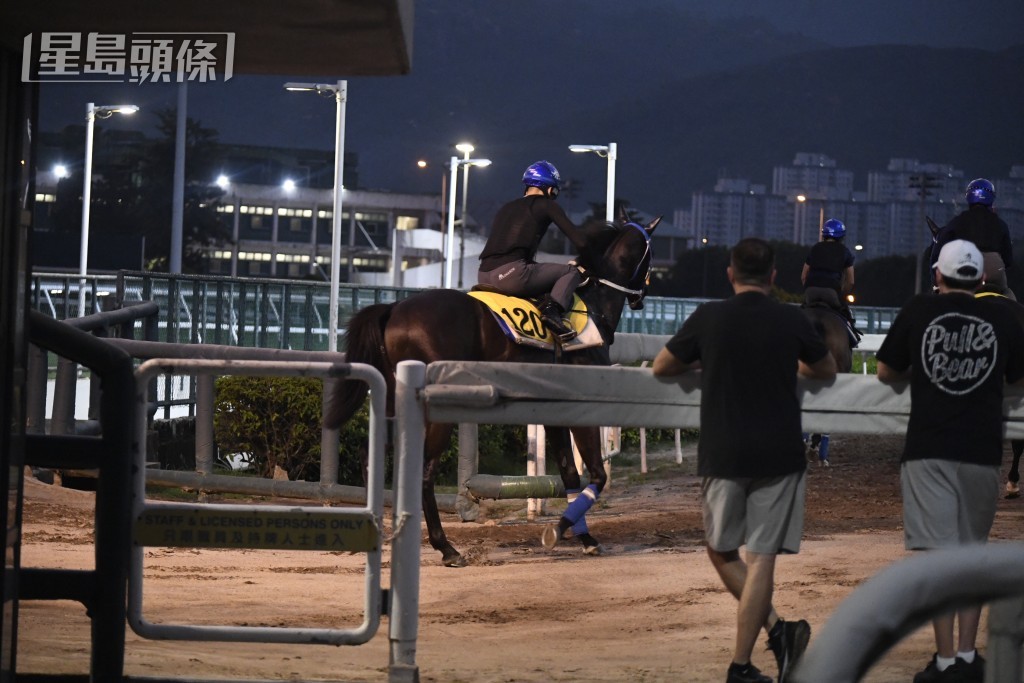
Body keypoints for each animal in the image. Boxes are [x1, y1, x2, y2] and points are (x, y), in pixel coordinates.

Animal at [327, 208, 663, 565]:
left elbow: (571, 474)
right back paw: (446, 547)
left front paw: (583, 535)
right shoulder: (582, 405)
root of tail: (394, 310)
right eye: (650, 256)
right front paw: (561, 531)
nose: (642, 296)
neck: (591, 306)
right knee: (424, 471)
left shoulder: (555, 409)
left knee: (370, 452)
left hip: (394, 397)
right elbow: (596, 474)